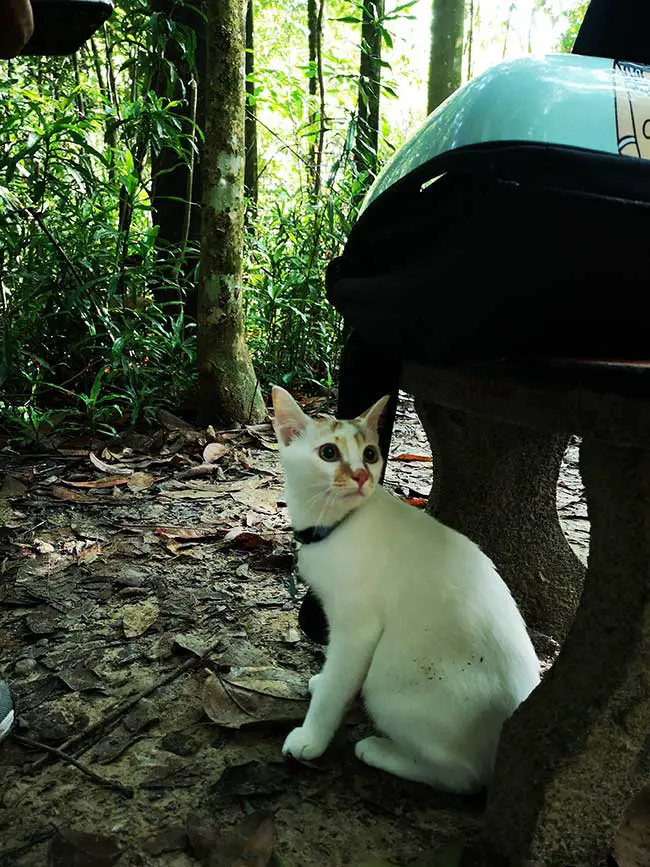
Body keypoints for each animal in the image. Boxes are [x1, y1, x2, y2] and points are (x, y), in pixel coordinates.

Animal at [270, 386, 540, 792]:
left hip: (386, 683)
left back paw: (379, 751)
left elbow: (336, 689)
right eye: (328, 453)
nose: (362, 475)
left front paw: (311, 738)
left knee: (464, 777)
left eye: (370, 453)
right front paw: (323, 678)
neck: (336, 525)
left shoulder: (358, 629)